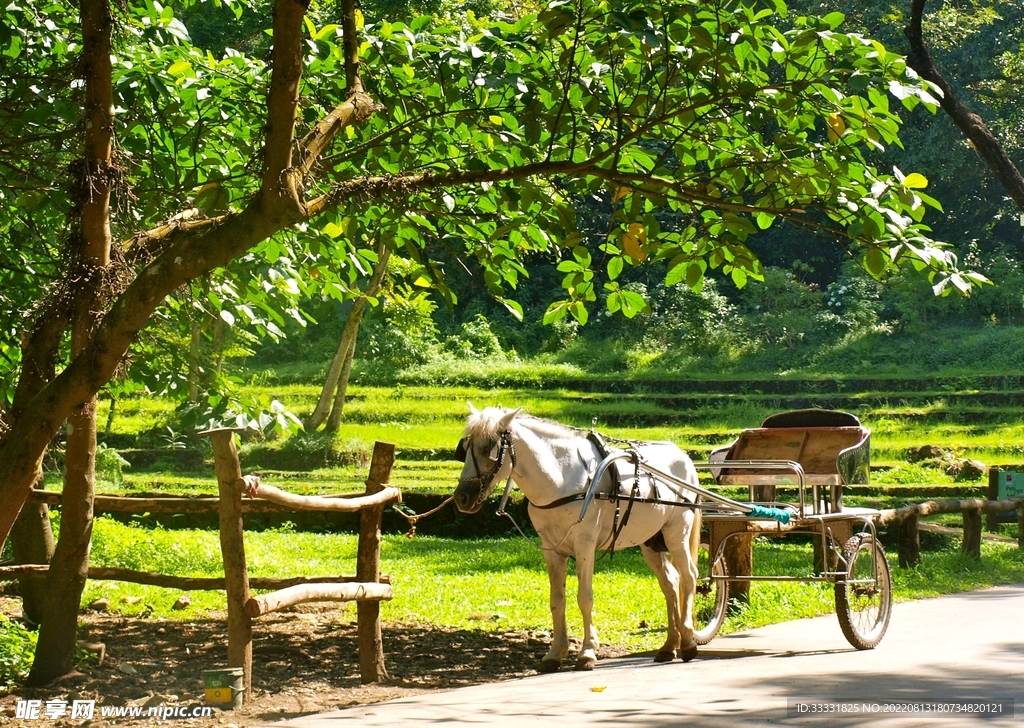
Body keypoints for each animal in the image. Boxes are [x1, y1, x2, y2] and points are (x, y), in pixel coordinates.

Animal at [452, 405, 702, 672]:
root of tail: (683, 456)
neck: (562, 479)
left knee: (688, 576)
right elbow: (557, 599)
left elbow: (585, 597)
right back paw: (670, 644)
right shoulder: (551, 549)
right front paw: (555, 653)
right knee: (670, 582)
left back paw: (688, 641)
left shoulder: (585, 544)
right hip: (650, 542)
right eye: (465, 447)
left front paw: (588, 651)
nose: (462, 498)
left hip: (677, 533)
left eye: (489, 448)